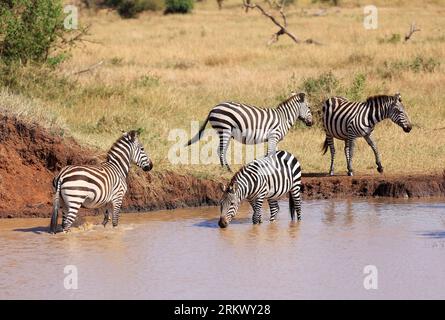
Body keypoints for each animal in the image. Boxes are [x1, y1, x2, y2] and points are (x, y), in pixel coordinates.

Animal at [184, 92, 312, 171]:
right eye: (309, 107)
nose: (312, 123)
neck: (283, 118)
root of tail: (213, 109)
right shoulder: (273, 136)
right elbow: (270, 154)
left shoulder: (275, 139)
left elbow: (274, 154)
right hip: (225, 129)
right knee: (220, 150)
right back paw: (227, 170)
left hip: (226, 132)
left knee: (221, 150)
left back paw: (226, 169)